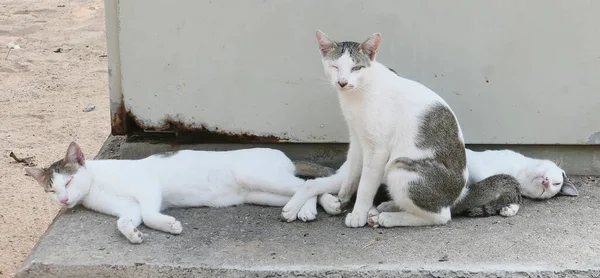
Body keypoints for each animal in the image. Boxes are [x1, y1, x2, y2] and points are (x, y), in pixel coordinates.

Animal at [24, 141, 342, 243]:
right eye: (51, 190)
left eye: (67, 182)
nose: (64, 199)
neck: (96, 188)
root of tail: (283, 155)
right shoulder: (128, 208)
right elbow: (125, 221)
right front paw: (133, 234)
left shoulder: (148, 187)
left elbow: (150, 213)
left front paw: (168, 225)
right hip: (262, 193)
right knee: (304, 188)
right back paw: (316, 207)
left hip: (258, 176)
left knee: (306, 184)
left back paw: (314, 207)